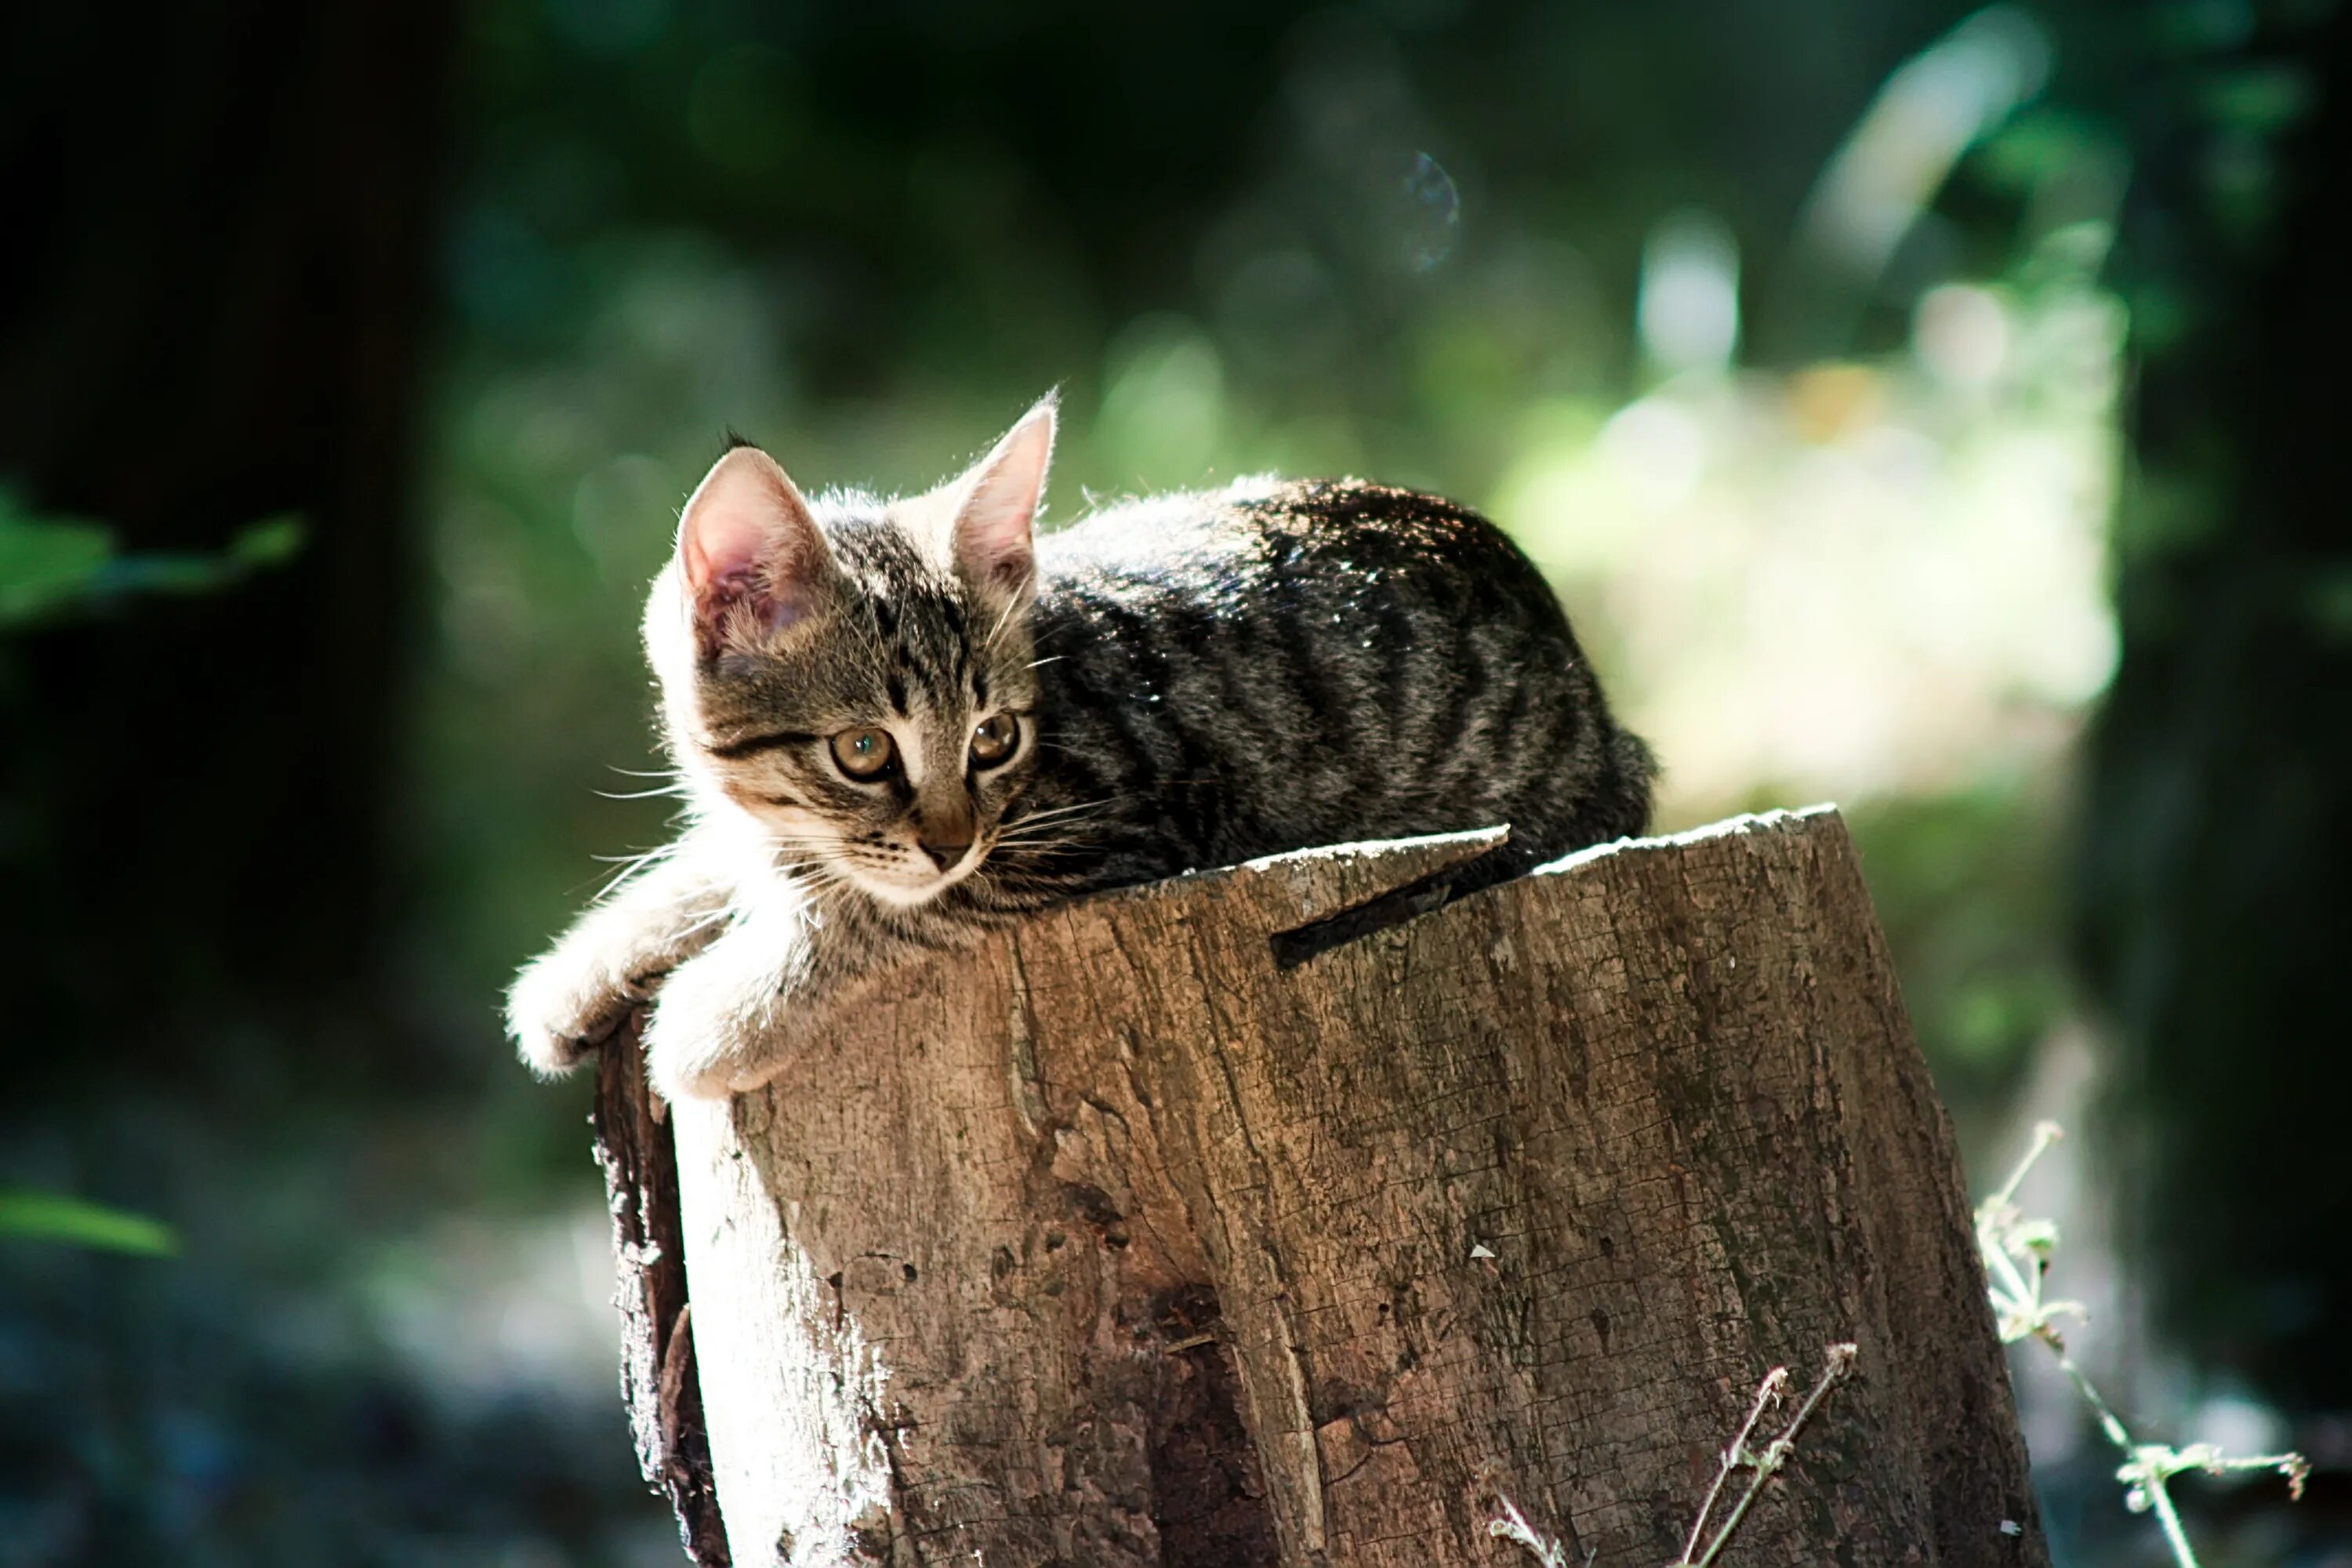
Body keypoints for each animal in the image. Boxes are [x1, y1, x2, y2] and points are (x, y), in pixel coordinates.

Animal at [510, 394, 1656, 1105]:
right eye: (864, 750)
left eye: (994, 738)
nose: (949, 839)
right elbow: (723, 862)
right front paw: (580, 970)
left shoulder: (1106, 829)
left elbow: (885, 914)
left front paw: (713, 1017)